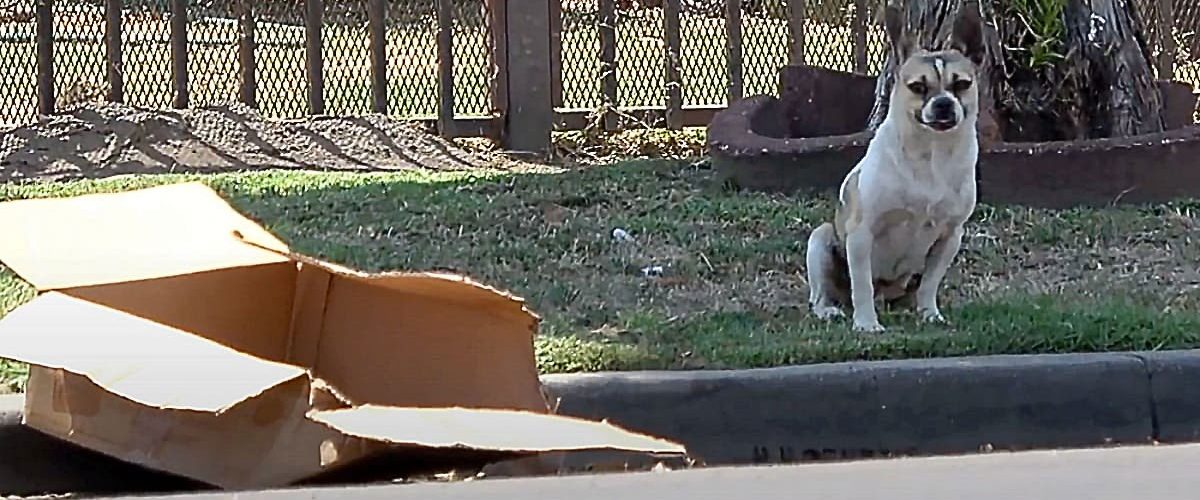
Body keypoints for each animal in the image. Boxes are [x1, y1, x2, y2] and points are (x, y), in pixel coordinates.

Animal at [806, 3, 984, 333]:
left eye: (962, 84)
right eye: (918, 87)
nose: (943, 103)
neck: (932, 153)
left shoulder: (950, 237)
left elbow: (930, 283)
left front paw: (929, 313)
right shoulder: (861, 234)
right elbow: (862, 284)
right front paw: (866, 324)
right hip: (821, 240)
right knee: (823, 293)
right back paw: (830, 311)